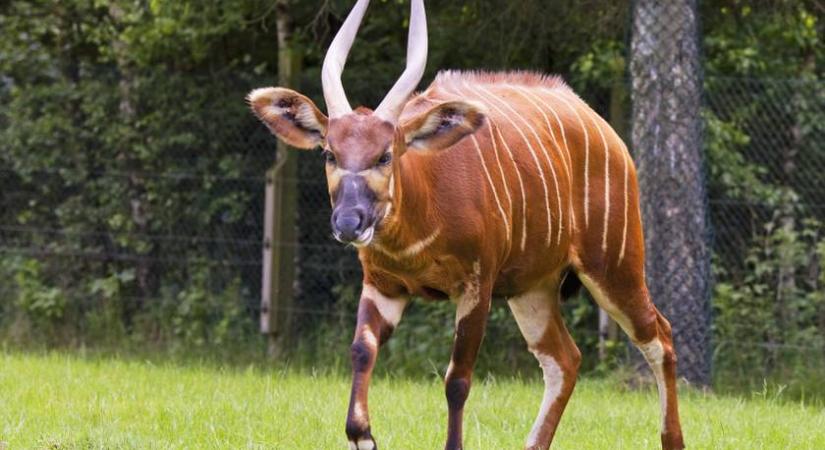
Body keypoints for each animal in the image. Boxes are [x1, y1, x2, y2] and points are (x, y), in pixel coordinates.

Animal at [248, 0, 684, 446]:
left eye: (386, 154)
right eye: (329, 153)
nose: (349, 222)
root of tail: (608, 133)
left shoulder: (476, 286)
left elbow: (457, 379)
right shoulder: (383, 285)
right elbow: (361, 350)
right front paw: (362, 434)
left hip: (614, 269)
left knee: (660, 337)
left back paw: (672, 439)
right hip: (533, 289)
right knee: (565, 358)